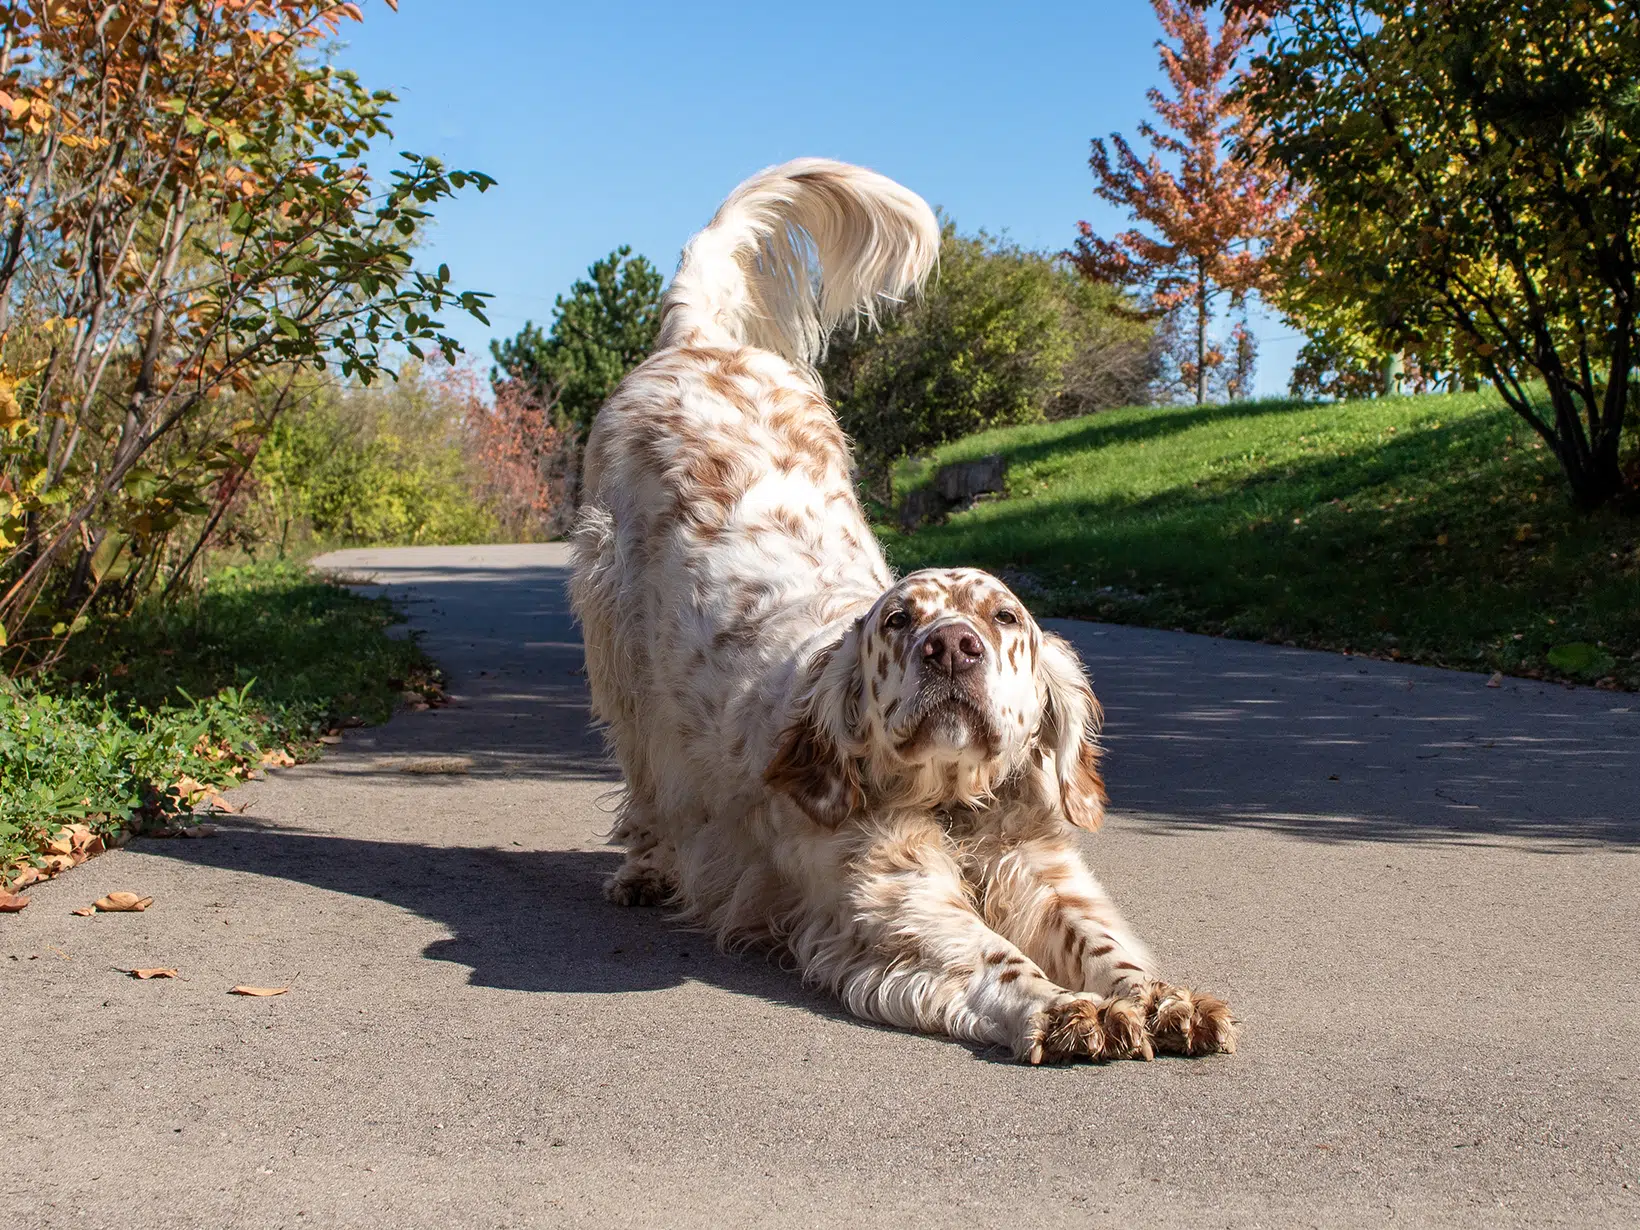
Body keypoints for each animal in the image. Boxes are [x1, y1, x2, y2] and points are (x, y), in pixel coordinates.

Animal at [574, 159, 1233, 1062]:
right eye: (897, 622)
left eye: (1004, 620)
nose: (951, 647)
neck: (955, 807)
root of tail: (700, 342)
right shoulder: (889, 902)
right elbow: (994, 957)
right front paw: (1069, 1009)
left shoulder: (1043, 871)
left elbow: (1107, 945)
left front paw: (1161, 997)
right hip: (616, 641)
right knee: (644, 782)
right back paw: (644, 870)